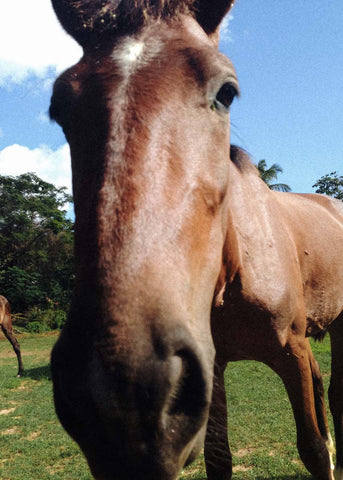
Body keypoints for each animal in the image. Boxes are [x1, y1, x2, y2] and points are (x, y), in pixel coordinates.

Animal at [49, 0, 343, 480]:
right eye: (59, 107)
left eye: (227, 93)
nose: (118, 395)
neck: (239, 265)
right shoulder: (212, 366)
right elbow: (219, 458)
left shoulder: (293, 351)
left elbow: (314, 448)